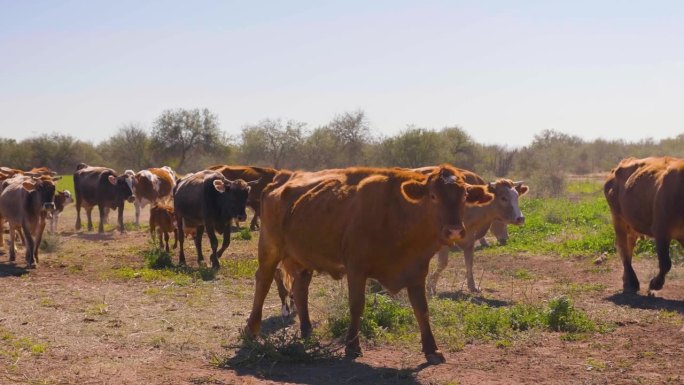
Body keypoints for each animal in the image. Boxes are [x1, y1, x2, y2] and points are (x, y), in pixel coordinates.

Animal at [246, 165, 492, 364]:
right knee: (263, 282)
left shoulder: (417, 271)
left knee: (300, 289)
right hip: (270, 249)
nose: (454, 230)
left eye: (464, 196)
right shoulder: (356, 270)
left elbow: (421, 309)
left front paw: (432, 349)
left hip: (303, 257)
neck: (399, 213)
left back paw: (307, 331)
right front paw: (352, 346)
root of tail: (281, 178)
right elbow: (357, 306)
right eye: (433, 196)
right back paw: (252, 329)